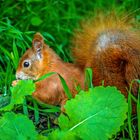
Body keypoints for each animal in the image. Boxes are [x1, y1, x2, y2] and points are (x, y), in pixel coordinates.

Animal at [12, 14, 140, 109]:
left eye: (26, 64)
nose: (16, 75)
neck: (49, 68)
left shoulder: (52, 84)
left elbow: (45, 97)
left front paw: (16, 83)